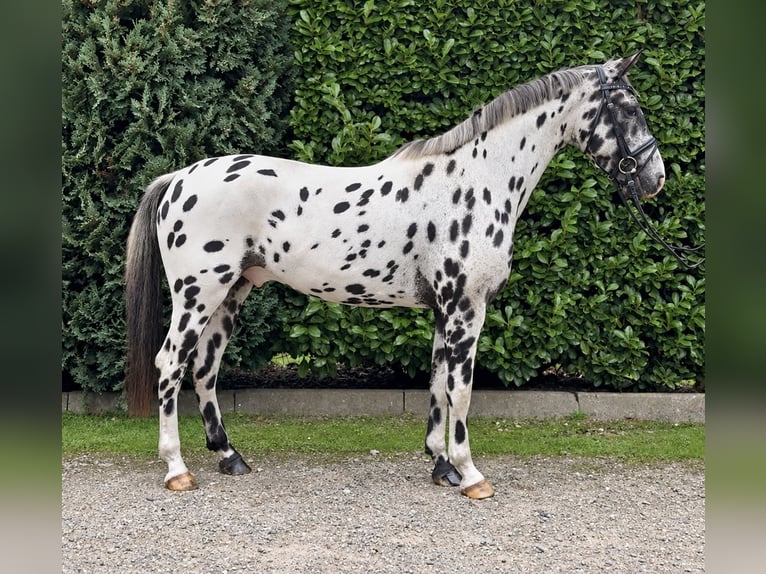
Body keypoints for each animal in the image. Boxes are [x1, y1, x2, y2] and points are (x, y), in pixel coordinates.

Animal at [125, 53, 665, 499]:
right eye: (628, 106)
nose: (654, 179)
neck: (474, 181)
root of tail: (178, 179)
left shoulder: (444, 312)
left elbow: (438, 385)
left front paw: (442, 465)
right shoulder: (467, 309)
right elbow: (461, 390)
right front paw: (471, 475)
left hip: (231, 293)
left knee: (204, 367)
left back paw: (229, 456)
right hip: (198, 294)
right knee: (170, 364)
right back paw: (176, 469)